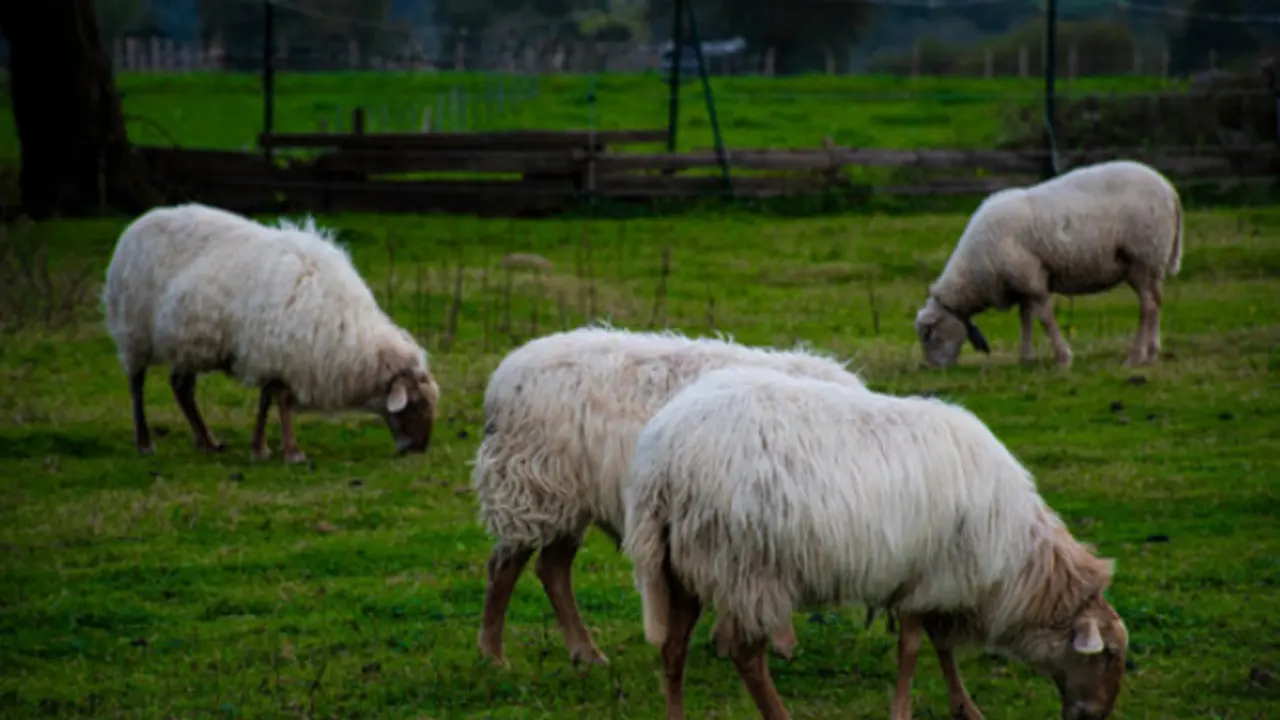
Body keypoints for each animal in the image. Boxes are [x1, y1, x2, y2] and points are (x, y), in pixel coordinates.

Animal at [102, 202, 439, 462]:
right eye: (416, 405)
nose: (418, 450)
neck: (350, 337)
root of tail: (134, 227)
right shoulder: (279, 352)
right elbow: (282, 401)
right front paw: (292, 452)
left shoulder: (273, 356)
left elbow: (267, 399)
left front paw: (260, 448)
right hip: (134, 331)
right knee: (137, 384)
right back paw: (145, 442)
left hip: (186, 344)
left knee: (181, 388)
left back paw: (208, 442)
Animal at [473, 325, 870, 668]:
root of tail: (503, 379)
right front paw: (781, 644)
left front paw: (729, 639)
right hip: (533, 488)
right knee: (504, 568)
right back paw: (493, 655)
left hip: (567, 498)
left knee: (552, 569)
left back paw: (584, 653)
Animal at [624, 365, 1128, 720]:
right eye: (1110, 655)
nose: (1096, 717)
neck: (1021, 564)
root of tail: (661, 459)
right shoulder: (929, 578)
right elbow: (912, 651)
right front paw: (905, 710)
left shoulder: (934, 580)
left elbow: (941, 647)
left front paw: (965, 706)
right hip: (745, 567)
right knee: (746, 656)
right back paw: (780, 715)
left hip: (681, 566)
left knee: (673, 648)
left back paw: (676, 717)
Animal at [915, 159, 1183, 369]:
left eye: (928, 335)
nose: (933, 368)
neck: (973, 274)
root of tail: (1170, 190)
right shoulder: (1020, 283)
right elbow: (1025, 318)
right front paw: (1026, 357)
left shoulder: (1031, 279)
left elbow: (1045, 318)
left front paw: (1063, 357)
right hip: (1153, 264)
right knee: (1156, 302)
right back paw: (1152, 352)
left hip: (1142, 258)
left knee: (1147, 306)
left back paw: (1135, 357)